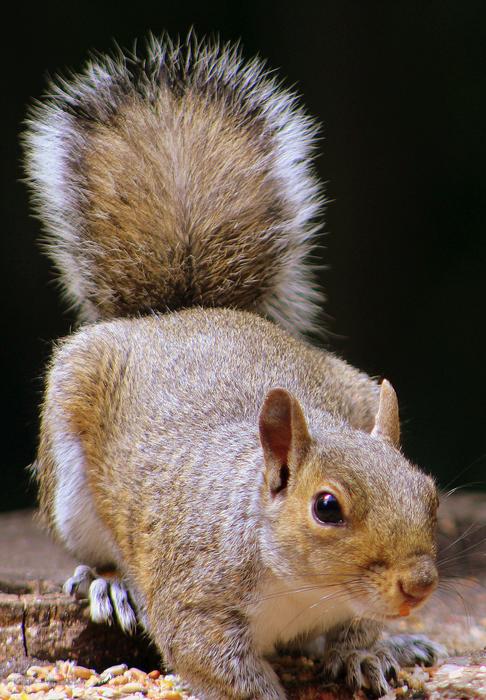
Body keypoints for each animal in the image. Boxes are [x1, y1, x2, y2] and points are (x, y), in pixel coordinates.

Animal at [23, 35, 443, 699]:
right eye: (328, 507)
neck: (301, 588)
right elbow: (217, 664)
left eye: (428, 491)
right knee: (94, 550)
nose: (419, 585)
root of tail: (182, 312)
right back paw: (110, 585)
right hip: (71, 453)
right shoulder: (194, 601)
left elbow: (355, 629)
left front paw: (368, 653)